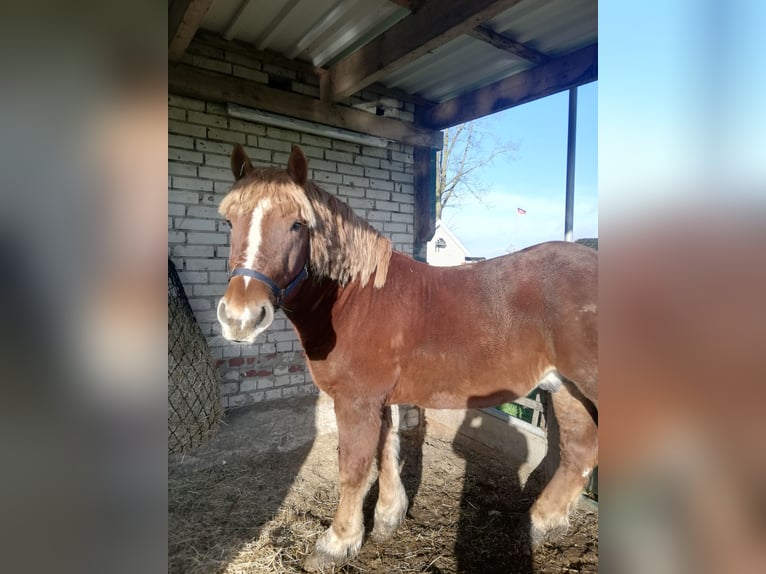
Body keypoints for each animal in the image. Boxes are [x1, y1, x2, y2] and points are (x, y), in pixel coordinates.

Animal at [216, 145, 600, 572]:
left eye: (297, 224)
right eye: (229, 220)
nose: (240, 317)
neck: (356, 299)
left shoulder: (356, 401)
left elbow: (353, 468)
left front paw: (337, 542)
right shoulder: (377, 400)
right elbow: (386, 450)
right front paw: (388, 517)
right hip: (567, 388)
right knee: (579, 453)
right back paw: (540, 524)